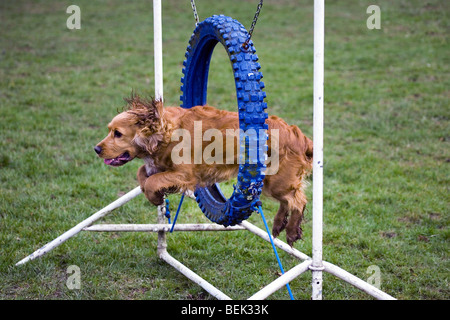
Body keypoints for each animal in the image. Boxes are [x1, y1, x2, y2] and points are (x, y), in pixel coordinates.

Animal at [95, 93, 312, 245]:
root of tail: (299, 136)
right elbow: (143, 173)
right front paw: (155, 195)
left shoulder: (185, 174)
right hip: (268, 181)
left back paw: (291, 231)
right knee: (289, 200)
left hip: (277, 181)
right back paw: (278, 224)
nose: (96, 149)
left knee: (298, 200)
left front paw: (155, 196)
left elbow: (152, 181)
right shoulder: (161, 167)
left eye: (118, 133)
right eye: (109, 130)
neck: (168, 132)